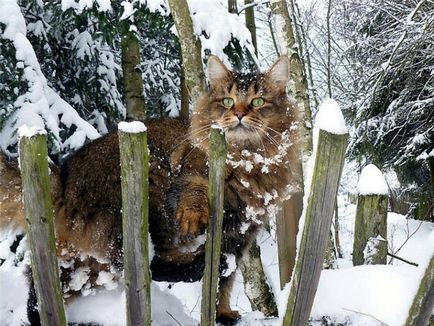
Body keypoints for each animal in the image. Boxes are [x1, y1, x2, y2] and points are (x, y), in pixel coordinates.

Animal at [0, 55, 300, 324]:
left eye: (258, 101)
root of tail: (63, 177)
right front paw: (193, 217)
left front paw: (223, 314)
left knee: (38, 301)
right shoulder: (192, 171)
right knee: (149, 264)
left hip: (79, 265)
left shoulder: (240, 234)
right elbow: (195, 192)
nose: (238, 114)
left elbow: (223, 284)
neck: (249, 162)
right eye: (227, 101)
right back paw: (199, 262)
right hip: (149, 185)